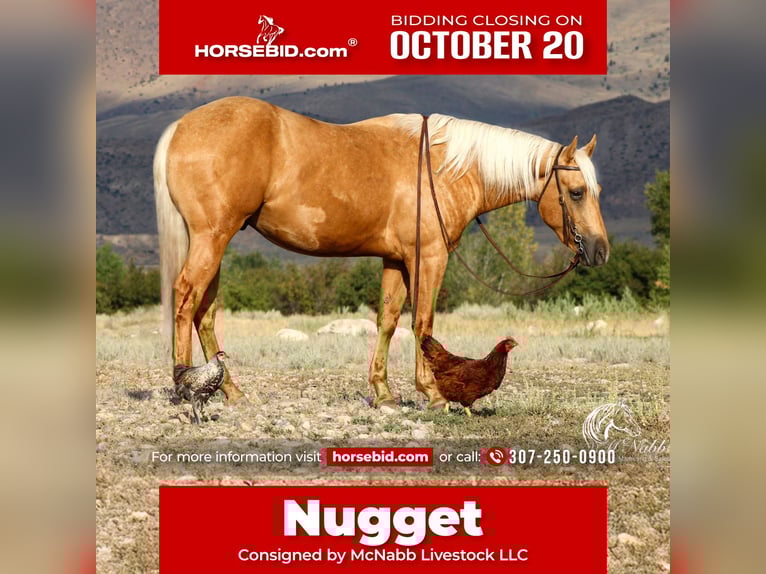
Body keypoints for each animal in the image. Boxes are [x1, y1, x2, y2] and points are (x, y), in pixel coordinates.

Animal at [153, 97, 610, 409]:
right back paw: (184, 385)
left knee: (204, 313)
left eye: (596, 189)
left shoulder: (395, 260)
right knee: (185, 299)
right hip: (212, 238)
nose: (600, 251)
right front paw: (431, 392)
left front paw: (384, 392)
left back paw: (231, 390)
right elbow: (424, 323)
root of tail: (181, 126)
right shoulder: (429, 258)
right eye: (576, 192)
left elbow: (388, 321)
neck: (445, 167)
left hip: (214, 243)